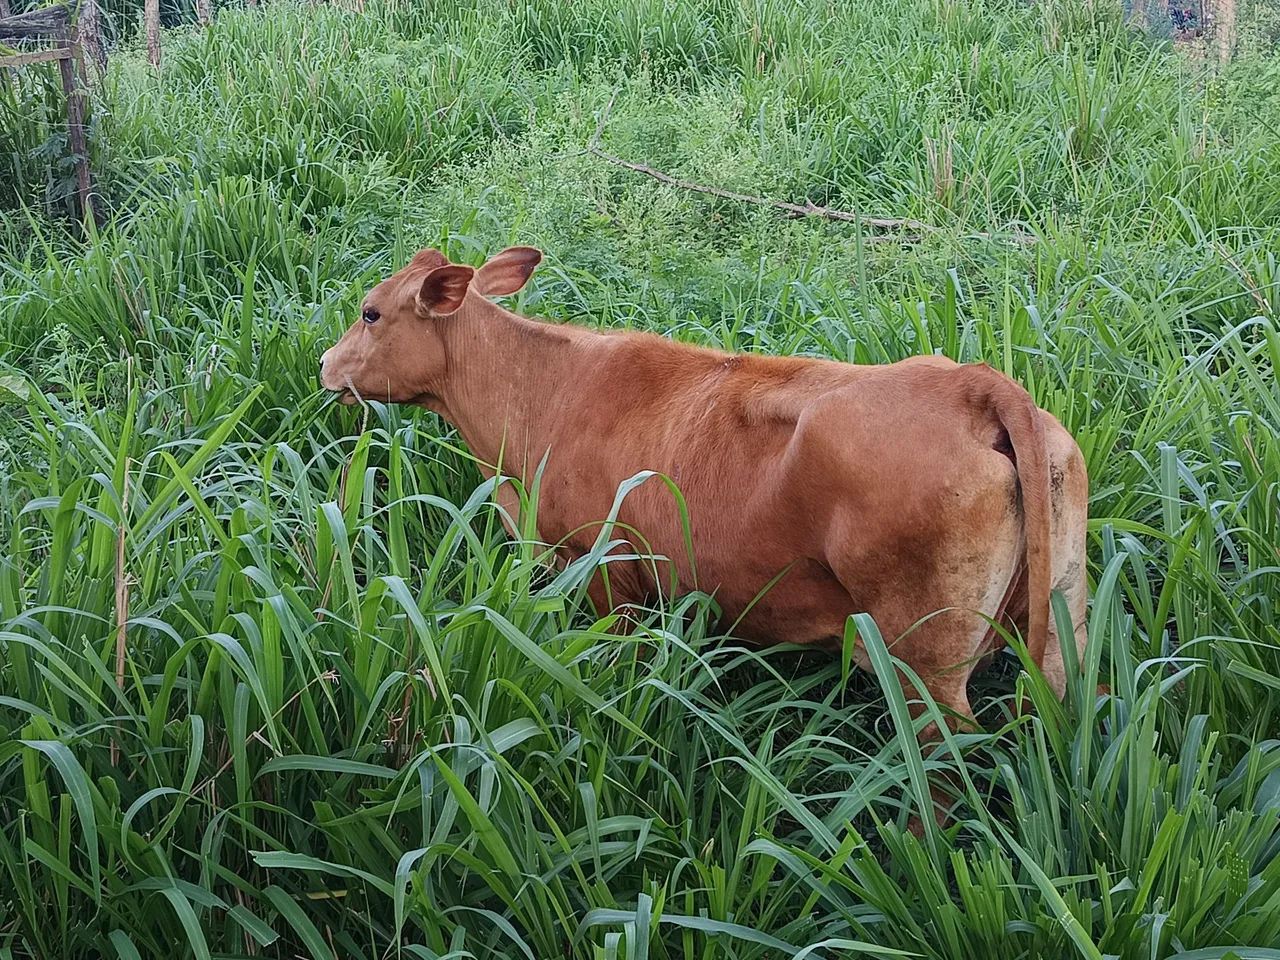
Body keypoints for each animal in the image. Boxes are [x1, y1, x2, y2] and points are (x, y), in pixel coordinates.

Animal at [320, 245, 1089, 816]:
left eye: (371, 312)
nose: (326, 365)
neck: (538, 393)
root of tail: (972, 384)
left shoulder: (608, 574)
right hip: (1063, 618)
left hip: (924, 660)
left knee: (946, 761)